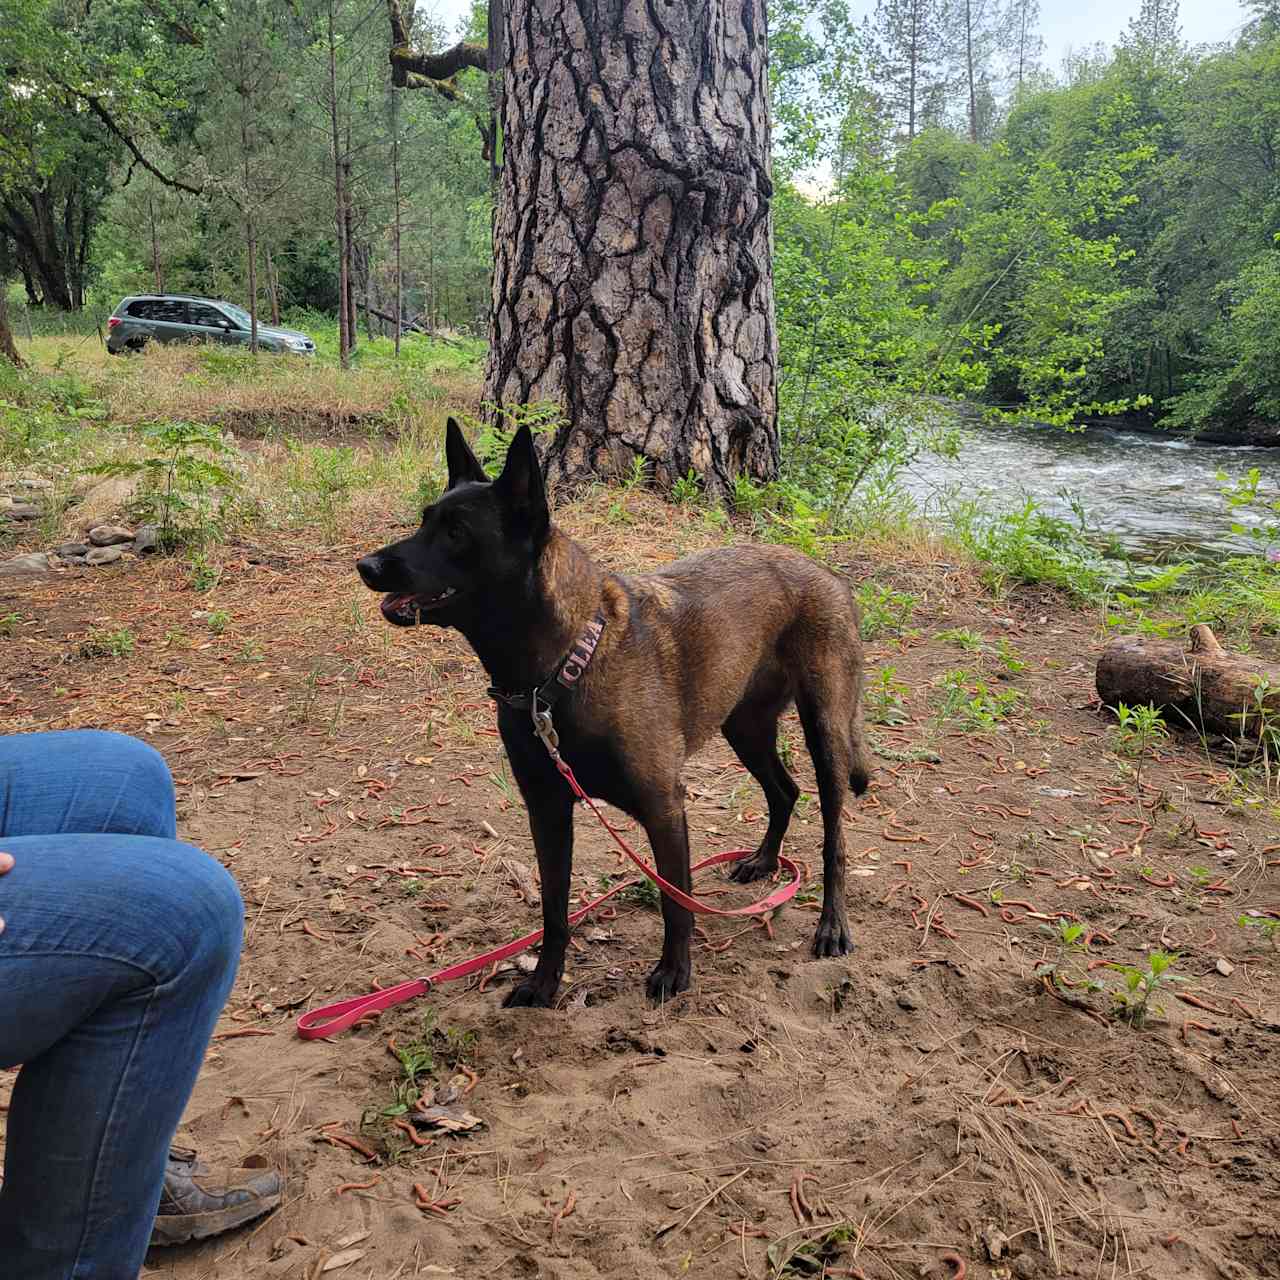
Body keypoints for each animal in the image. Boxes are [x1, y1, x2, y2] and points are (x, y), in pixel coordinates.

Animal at [358, 424, 870, 1003]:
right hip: (745, 728)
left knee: (834, 841)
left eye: (457, 532)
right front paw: (545, 982)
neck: (562, 669)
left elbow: (676, 904)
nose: (366, 567)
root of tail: (825, 572)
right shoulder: (548, 811)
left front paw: (674, 972)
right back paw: (763, 861)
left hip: (825, 735)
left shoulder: (664, 809)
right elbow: (555, 911)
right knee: (784, 791)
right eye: (426, 520)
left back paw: (832, 925)